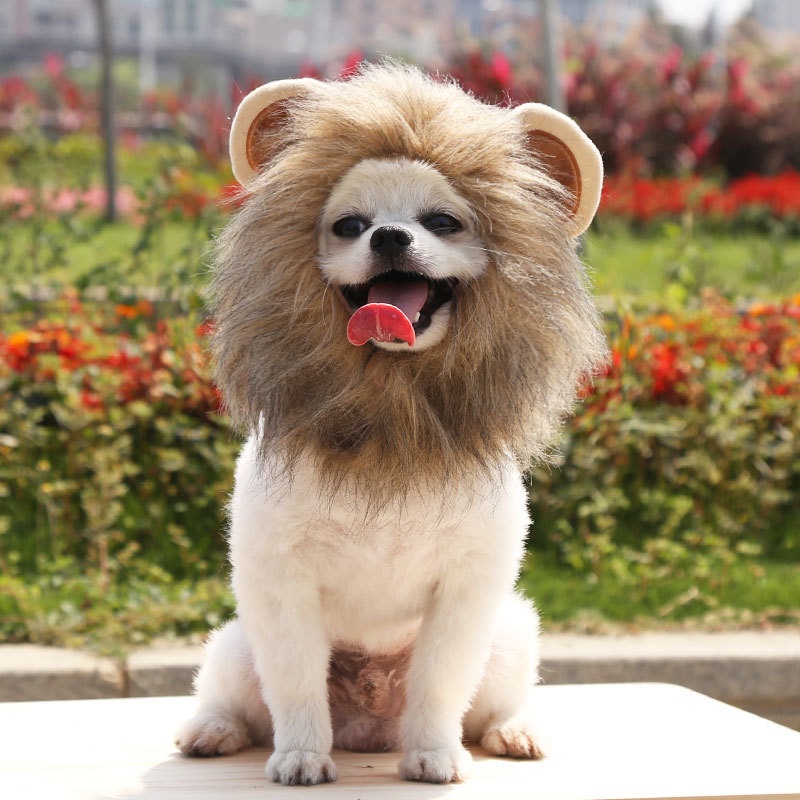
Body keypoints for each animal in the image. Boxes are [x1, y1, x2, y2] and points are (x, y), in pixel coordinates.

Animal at [177, 64, 608, 788]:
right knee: (232, 698)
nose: (388, 236)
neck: (390, 417)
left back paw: (514, 732)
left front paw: (435, 755)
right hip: (236, 647)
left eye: (443, 221)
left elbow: (441, 683)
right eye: (349, 225)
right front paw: (301, 756)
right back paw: (211, 731)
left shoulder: (467, 589)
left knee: (493, 703)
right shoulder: (278, 581)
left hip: (512, 633)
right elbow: (295, 683)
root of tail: (369, 725)